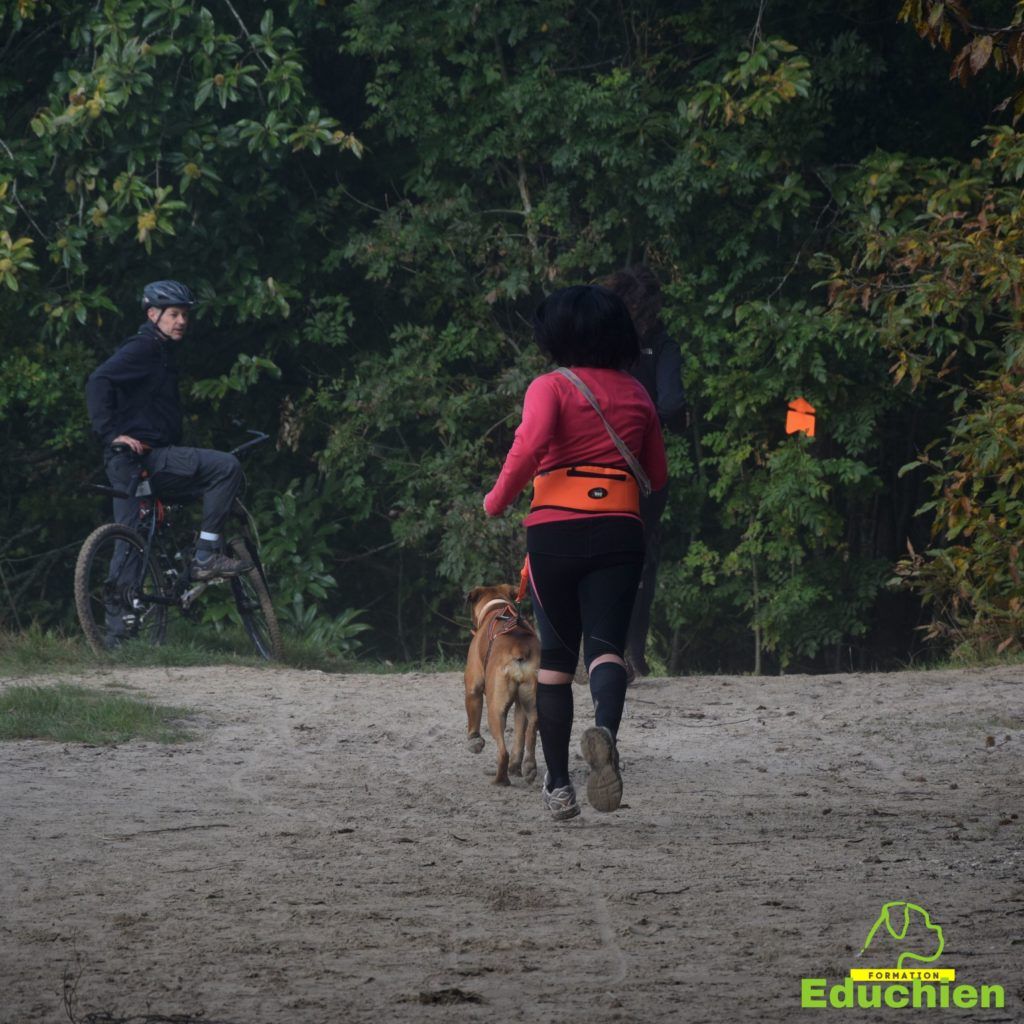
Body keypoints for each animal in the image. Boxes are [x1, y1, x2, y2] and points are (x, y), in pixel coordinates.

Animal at [466, 585, 540, 782]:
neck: (496, 607)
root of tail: (519, 648)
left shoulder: (473, 686)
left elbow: (473, 717)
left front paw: (474, 741)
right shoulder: (520, 705)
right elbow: (520, 735)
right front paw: (516, 767)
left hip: (495, 710)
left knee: (503, 751)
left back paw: (500, 780)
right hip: (531, 700)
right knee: (530, 730)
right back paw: (528, 767)